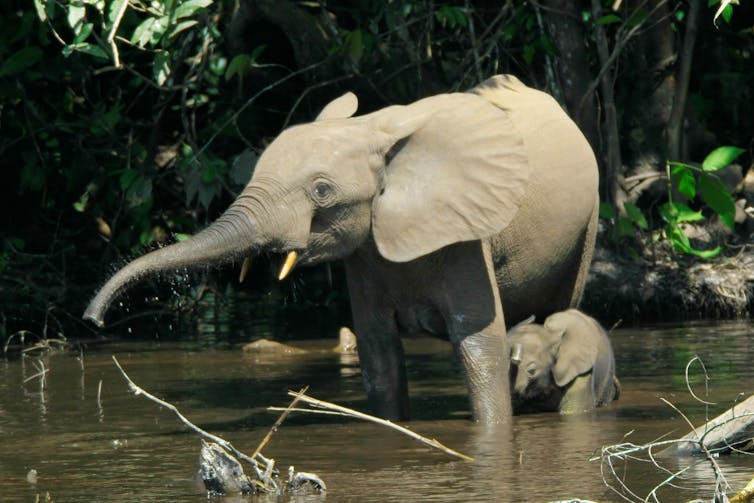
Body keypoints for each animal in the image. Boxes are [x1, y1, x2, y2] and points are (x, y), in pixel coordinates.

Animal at [83, 76, 600, 426]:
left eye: (322, 191)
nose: (93, 320)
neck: (373, 130)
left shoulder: (465, 236)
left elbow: (479, 346)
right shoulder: (365, 252)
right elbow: (379, 356)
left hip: (588, 223)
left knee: (558, 311)